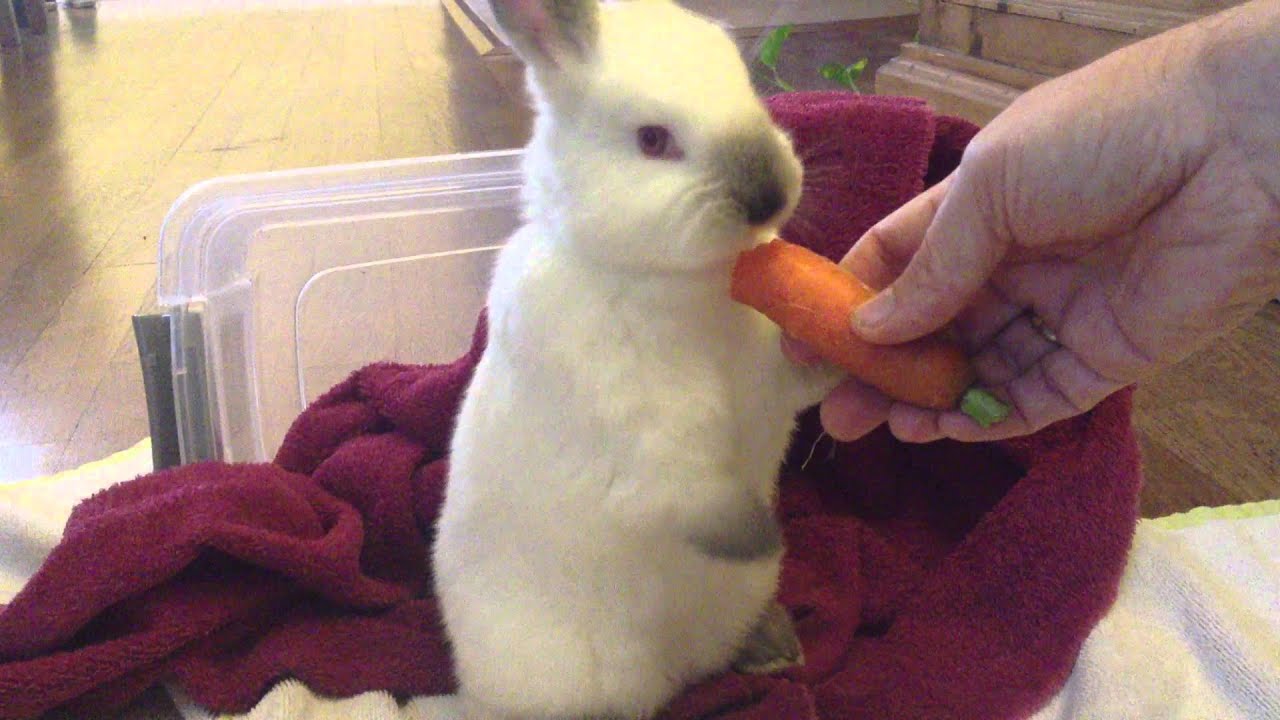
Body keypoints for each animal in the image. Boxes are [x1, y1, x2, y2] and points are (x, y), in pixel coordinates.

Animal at [430, 2, 844, 712]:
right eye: (653, 140)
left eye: (748, 88)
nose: (769, 196)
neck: (682, 285)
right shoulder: (645, 443)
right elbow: (693, 494)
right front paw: (762, 534)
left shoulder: (768, 383)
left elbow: (797, 375)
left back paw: (773, 646)